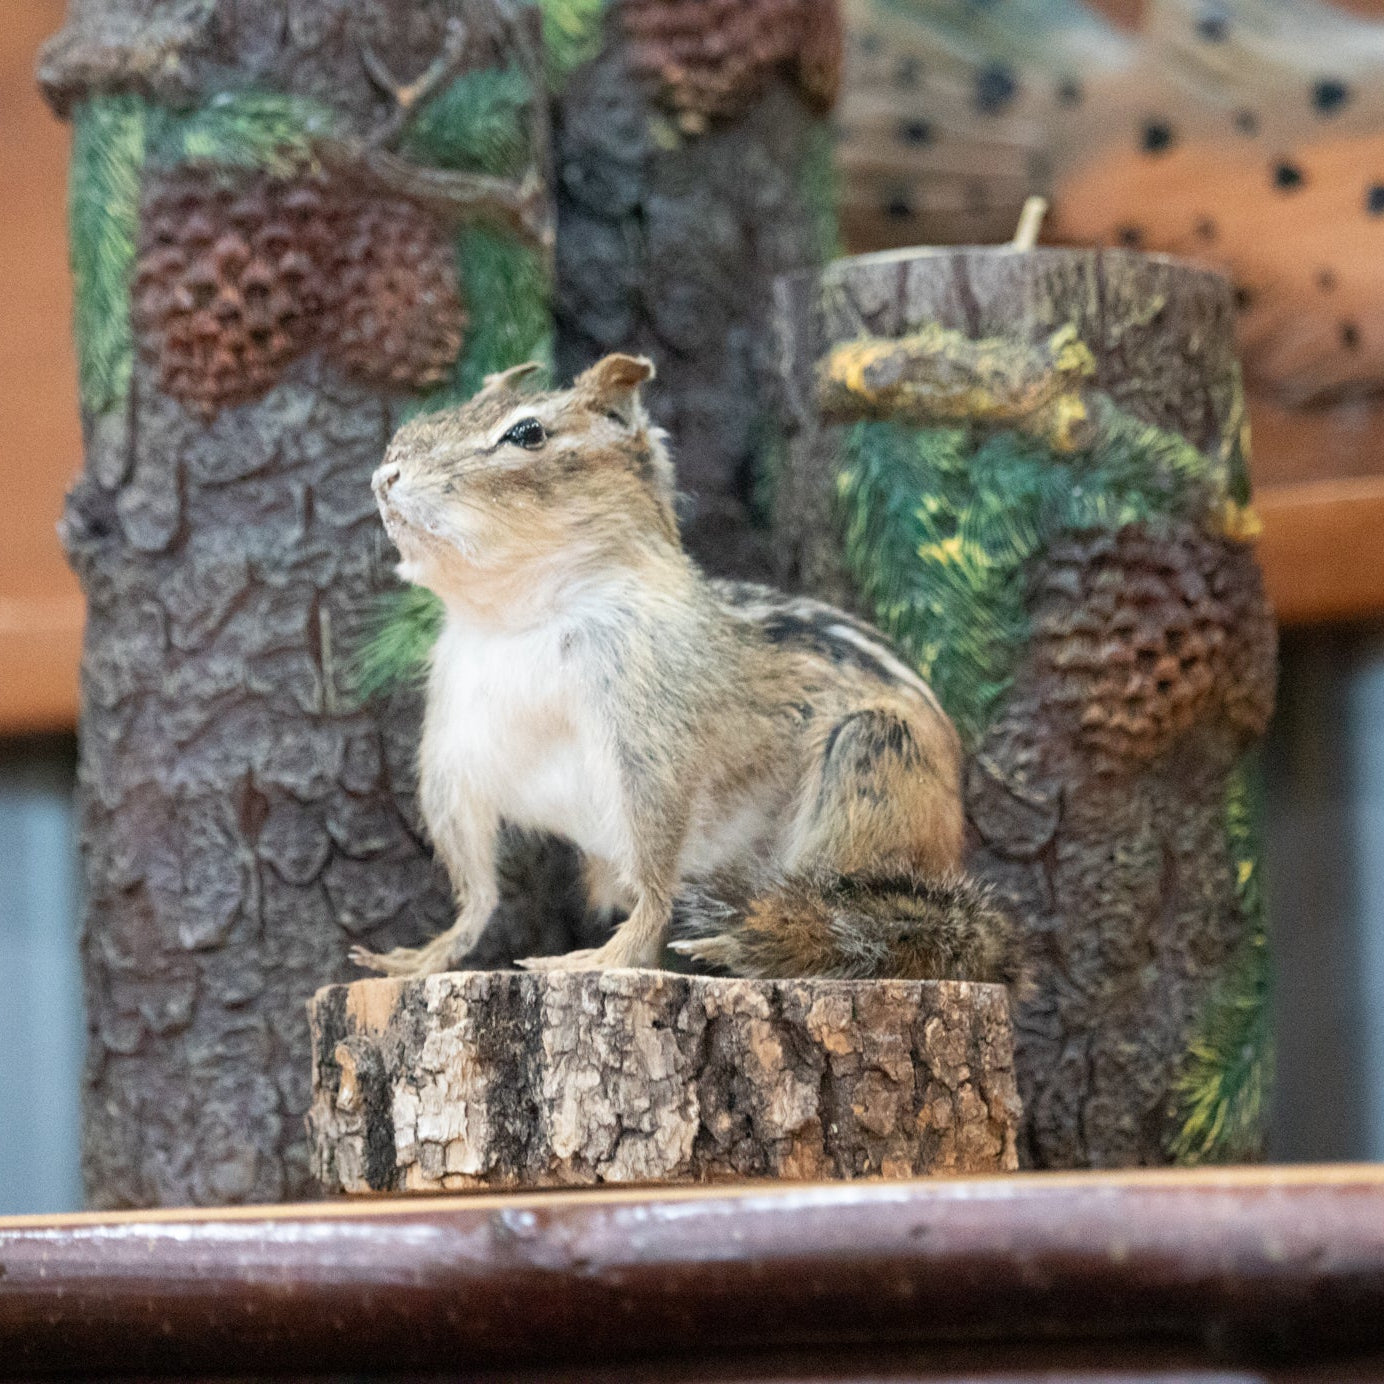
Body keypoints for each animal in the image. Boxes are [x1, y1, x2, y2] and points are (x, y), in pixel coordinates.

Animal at [349, 353, 1019, 984]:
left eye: (527, 433)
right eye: (434, 417)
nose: (385, 476)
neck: (518, 619)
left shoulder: (651, 739)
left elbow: (656, 869)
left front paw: (606, 957)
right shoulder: (454, 751)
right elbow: (477, 889)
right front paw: (424, 956)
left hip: (872, 764)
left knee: (851, 920)